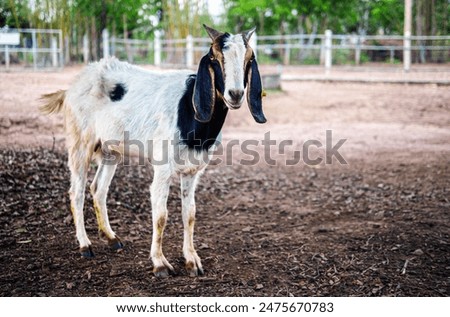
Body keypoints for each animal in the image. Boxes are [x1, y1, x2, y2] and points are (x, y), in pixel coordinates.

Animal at [40, 25, 266, 276]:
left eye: (249, 58)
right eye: (215, 59)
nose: (235, 94)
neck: (189, 110)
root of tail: (71, 87)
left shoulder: (193, 170)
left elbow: (190, 214)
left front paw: (192, 260)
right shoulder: (163, 166)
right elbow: (160, 216)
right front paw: (160, 263)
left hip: (111, 150)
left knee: (98, 188)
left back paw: (111, 238)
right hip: (80, 142)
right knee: (76, 192)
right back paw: (85, 245)